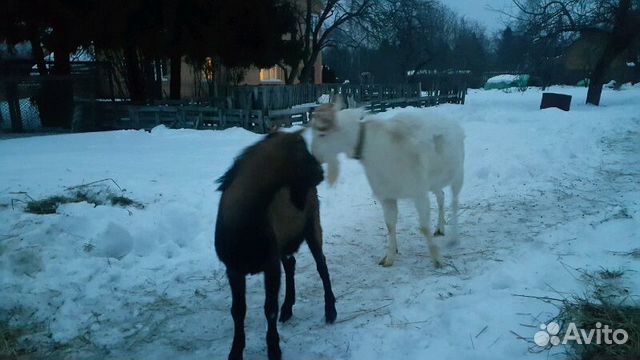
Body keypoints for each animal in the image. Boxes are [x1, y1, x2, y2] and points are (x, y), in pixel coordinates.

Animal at [215, 131, 338, 360]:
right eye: (303, 152)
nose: (320, 171)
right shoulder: (233, 269)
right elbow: (238, 311)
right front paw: (235, 351)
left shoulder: (270, 265)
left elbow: (269, 308)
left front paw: (274, 349)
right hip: (283, 242)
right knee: (290, 265)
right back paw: (288, 308)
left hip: (312, 226)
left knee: (321, 264)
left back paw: (330, 310)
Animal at [312, 97, 464, 268]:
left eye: (322, 134)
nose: (314, 157)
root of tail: (452, 123)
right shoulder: (387, 195)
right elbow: (390, 225)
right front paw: (389, 257)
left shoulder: (418, 192)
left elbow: (424, 226)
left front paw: (438, 259)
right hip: (433, 182)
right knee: (441, 196)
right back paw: (440, 228)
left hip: (458, 174)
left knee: (454, 201)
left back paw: (453, 238)